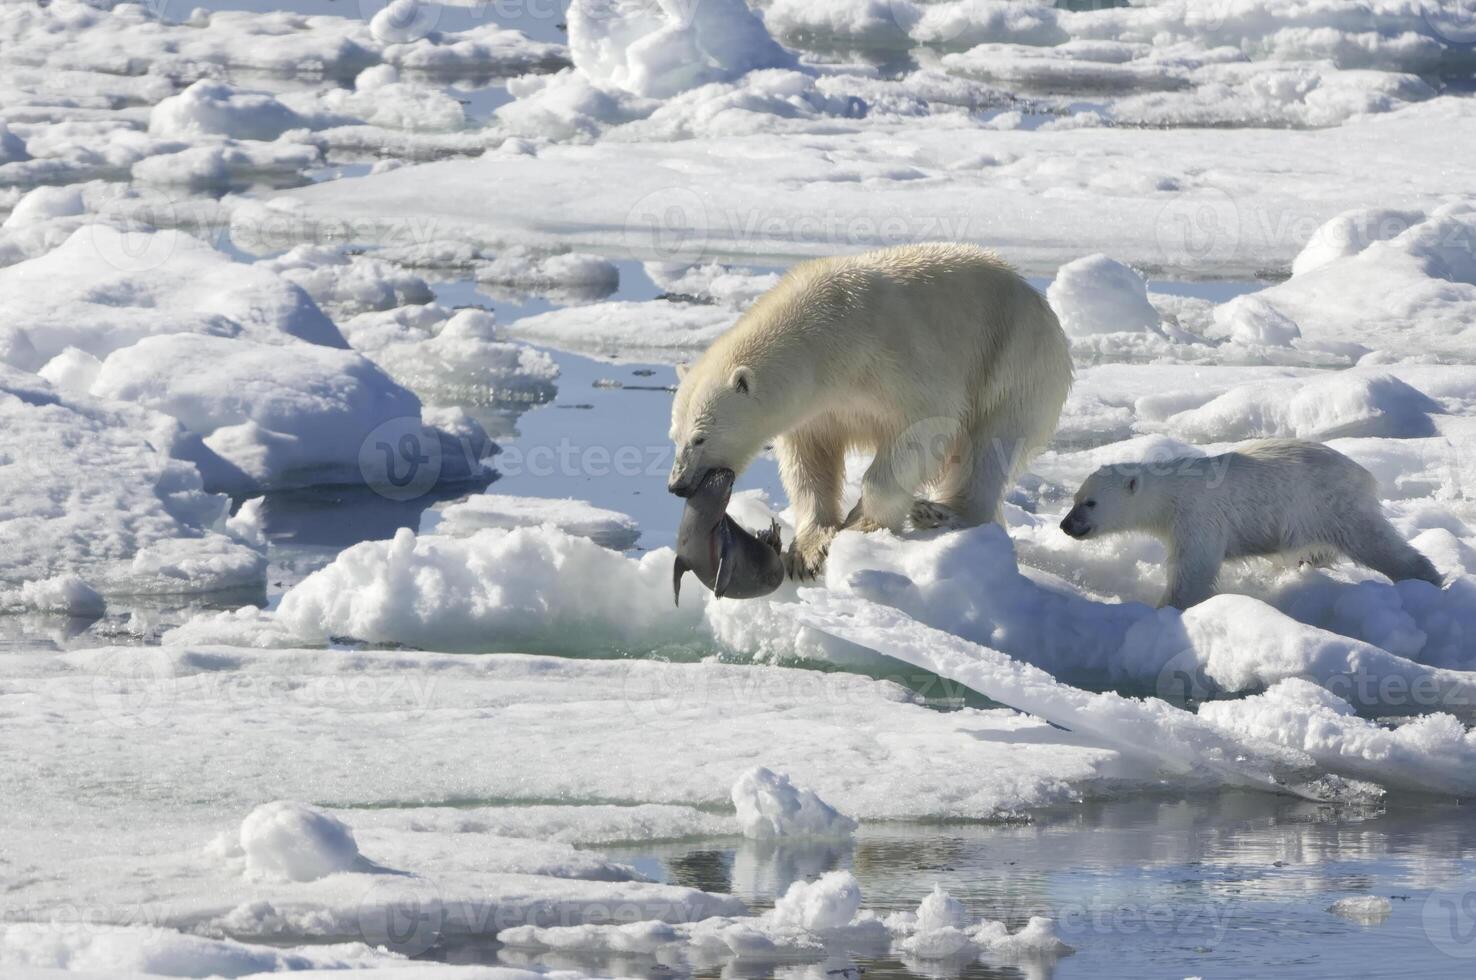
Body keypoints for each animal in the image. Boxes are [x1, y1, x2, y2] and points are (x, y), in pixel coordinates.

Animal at [668, 242, 1073, 579]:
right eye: (675, 435)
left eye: (700, 437)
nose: (678, 484)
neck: (827, 337)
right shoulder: (817, 409)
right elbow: (810, 460)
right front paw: (807, 550)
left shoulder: (894, 360)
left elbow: (926, 424)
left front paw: (862, 522)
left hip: (1015, 360)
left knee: (992, 446)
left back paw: (940, 513)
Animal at [1059, 439, 1444, 609]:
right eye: (1075, 498)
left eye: (1090, 503)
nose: (1066, 525)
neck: (1171, 492)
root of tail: (1365, 474)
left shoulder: (1197, 516)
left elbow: (1193, 569)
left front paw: (1167, 609)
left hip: (1330, 504)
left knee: (1376, 542)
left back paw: (1426, 578)